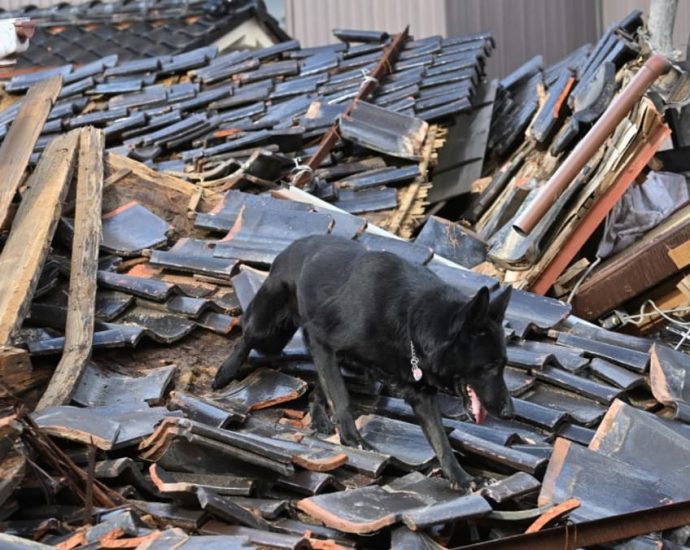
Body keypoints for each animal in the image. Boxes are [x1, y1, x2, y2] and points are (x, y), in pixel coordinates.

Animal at [214, 235, 510, 490]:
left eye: (504, 365)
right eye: (490, 367)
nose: (509, 412)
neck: (413, 320)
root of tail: (294, 245)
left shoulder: (420, 393)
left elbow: (441, 441)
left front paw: (461, 477)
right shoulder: (323, 342)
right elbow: (341, 398)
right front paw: (353, 439)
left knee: (319, 384)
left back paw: (319, 417)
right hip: (271, 333)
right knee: (247, 335)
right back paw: (225, 371)